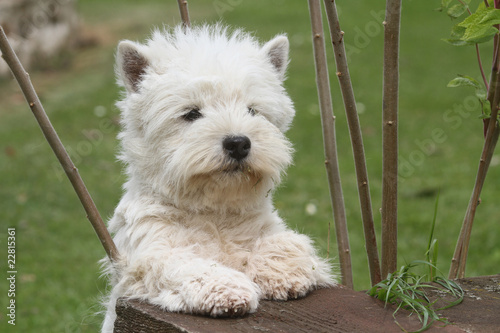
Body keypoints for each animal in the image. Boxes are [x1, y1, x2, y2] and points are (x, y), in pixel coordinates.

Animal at [101, 24, 336, 332]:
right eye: (191, 113)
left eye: (252, 110)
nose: (238, 143)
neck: (215, 212)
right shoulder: (147, 253)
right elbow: (187, 263)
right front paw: (229, 291)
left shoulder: (266, 226)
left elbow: (285, 241)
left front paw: (281, 275)